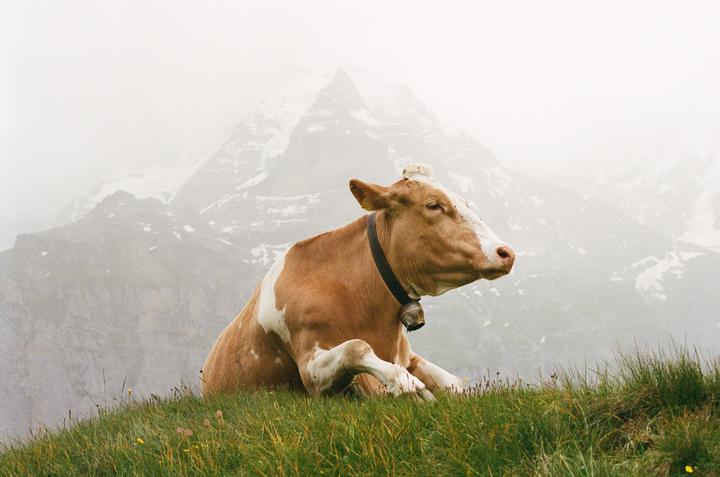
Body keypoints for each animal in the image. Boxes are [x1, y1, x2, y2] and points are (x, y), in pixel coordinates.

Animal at [201, 164, 515, 400]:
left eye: (465, 203)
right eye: (433, 204)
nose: (505, 252)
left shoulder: (408, 354)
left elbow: (453, 383)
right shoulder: (310, 368)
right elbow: (357, 347)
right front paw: (407, 384)